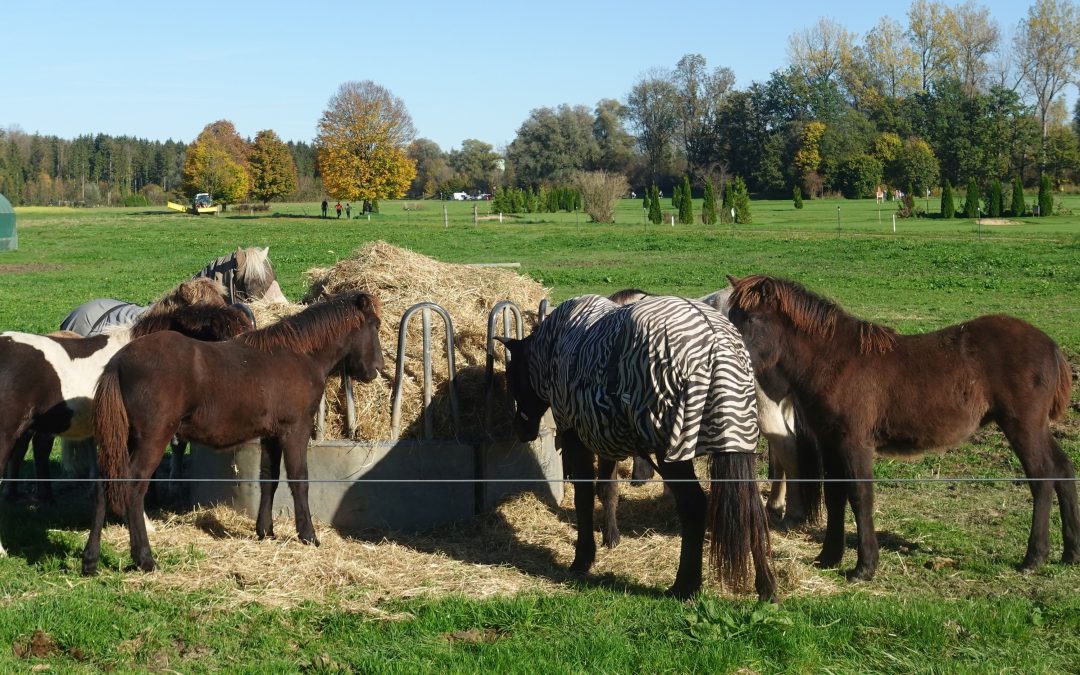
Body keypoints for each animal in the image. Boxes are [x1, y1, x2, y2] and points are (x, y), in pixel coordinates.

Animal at [81, 289, 384, 574]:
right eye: (375, 324)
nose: (377, 369)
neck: (298, 354)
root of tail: (118, 362)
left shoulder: (271, 436)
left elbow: (269, 479)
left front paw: (265, 530)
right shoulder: (295, 430)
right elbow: (299, 480)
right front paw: (308, 535)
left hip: (122, 440)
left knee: (105, 483)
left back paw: (90, 560)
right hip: (151, 441)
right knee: (133, 487)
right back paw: (144, 558)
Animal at [498, 293, 777, 600]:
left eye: (512, 377)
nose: (521, 429)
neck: (555, 347)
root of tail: (718, 343)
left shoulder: (574, 436)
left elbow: (584, 497)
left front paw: (583, 558)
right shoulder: (603, 435)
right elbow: (607, 491)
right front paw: (611, 538)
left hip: (673, 452)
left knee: (694, 505)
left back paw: (685, 585)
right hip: (737, 443)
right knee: (751, 508)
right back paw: (766, 587)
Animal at [721, 274, 1075, 578]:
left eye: (751, 319)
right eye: (731, 315)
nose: (730, 354)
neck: (834, 362)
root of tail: (1051, 346)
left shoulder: (855, 443)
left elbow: (860, 496)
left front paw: (864, 568)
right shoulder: (830, 442)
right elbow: (836, 496)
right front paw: (828, 558)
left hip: (1022, 425)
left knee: (1042, 476)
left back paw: (1034, 557)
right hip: (1036, 427)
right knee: (1063, 468)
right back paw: (1070, 553)